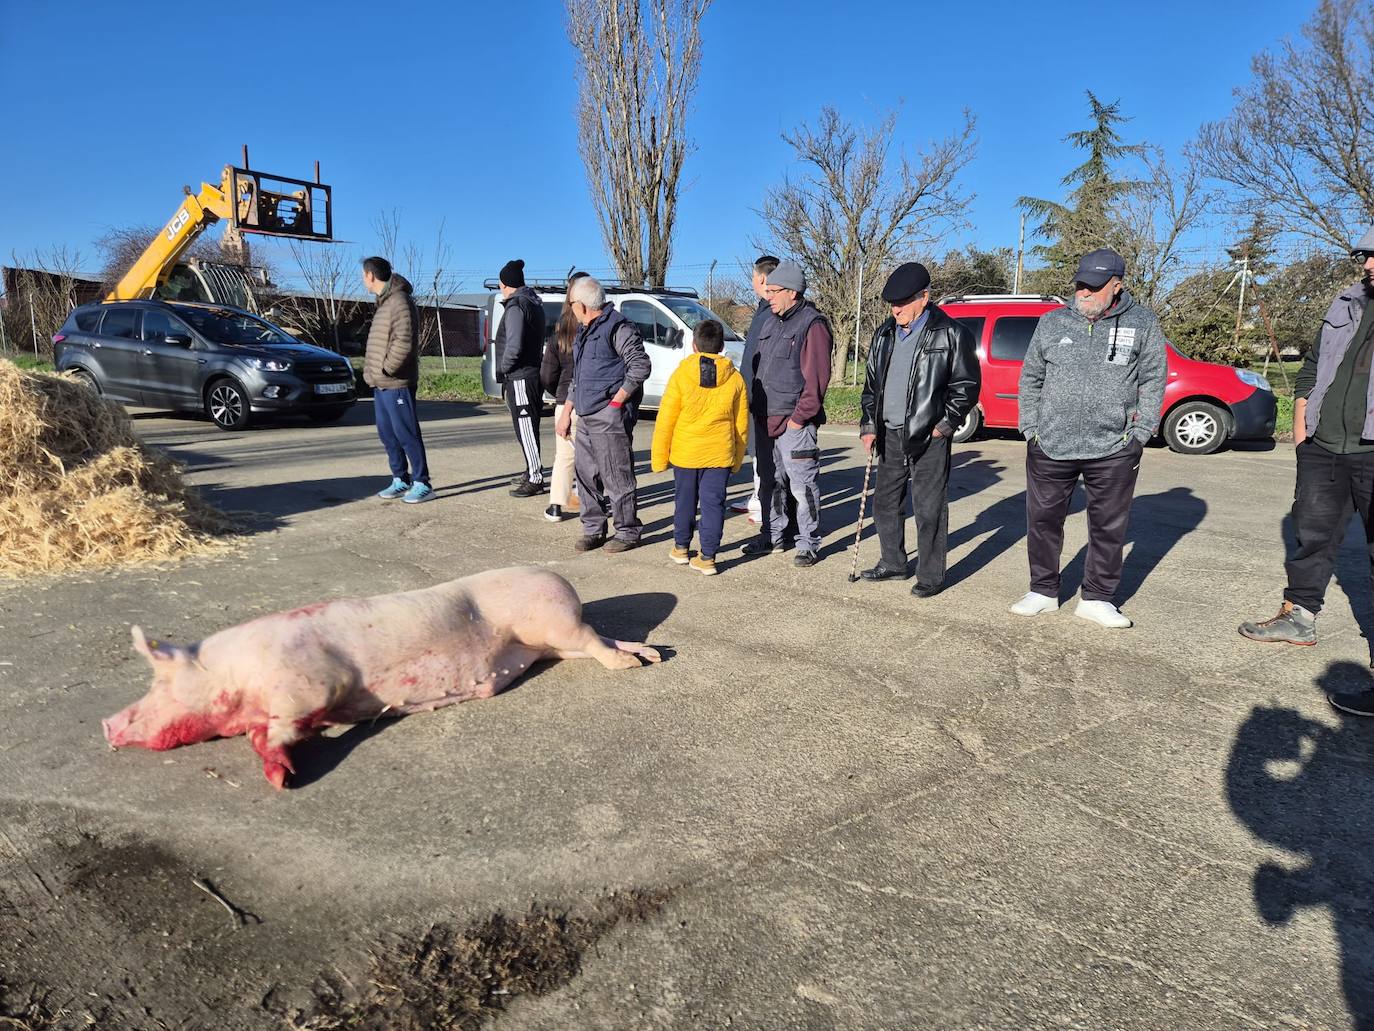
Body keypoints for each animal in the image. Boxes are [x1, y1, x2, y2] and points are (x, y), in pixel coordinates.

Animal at [101, 569, 659, 786]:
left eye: (158, 682)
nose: (107, 723)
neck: (237, 675)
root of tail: (563, 582)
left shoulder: (312, 683)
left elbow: (286, 724)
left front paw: (283, 780)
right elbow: (270, 733)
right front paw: (280, 771)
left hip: (554, 620)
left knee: (597, 643)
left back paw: (636, 666)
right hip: (553, 644)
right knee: (603, 641)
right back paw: (651, 654)